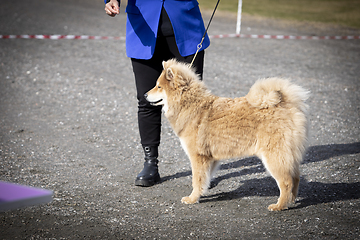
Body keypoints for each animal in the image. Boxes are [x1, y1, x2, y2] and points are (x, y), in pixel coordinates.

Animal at [145, 58, 308, 210]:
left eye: (158, 86)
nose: (145, 95)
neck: (190, 104)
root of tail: (286, 105)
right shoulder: (210, 158)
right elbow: (204, 179)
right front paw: (201, 193)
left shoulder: (198, 157)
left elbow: (197, 180)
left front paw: (192, 198)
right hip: (287, 156)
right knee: (296, 178)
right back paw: (291, 201)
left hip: (274, 156)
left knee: (286, 182)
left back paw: (279, 205)